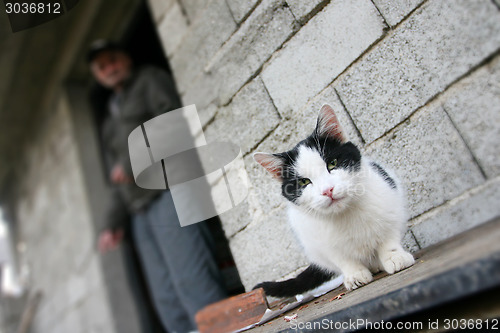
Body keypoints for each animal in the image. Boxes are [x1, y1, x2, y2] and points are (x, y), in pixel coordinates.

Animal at [254, 104, 414, 296]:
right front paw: (354, 274)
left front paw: (395, 256)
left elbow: (388, 237)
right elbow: (341, 258)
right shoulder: (318, 242)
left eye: (332, 164)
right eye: (304, 182)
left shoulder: (390, 204)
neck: (345, 214)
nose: (327, 190)